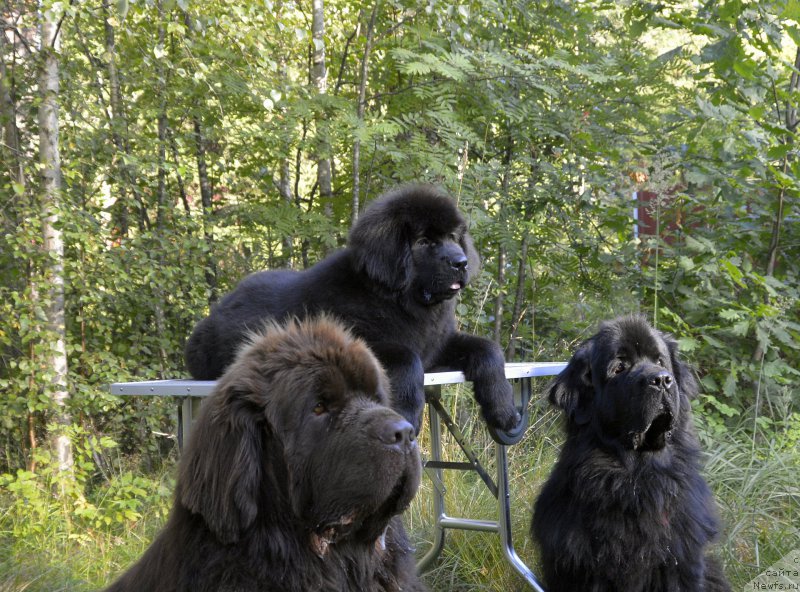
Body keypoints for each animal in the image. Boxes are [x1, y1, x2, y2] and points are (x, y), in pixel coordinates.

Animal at [184, 184, 516, 434]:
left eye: (452, 237)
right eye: (423, 242)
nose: (461, 262)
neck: (399, 301)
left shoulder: (438, 345)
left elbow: (488, 349)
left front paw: (504, 411)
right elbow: (408, 359)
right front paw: (407, 416)